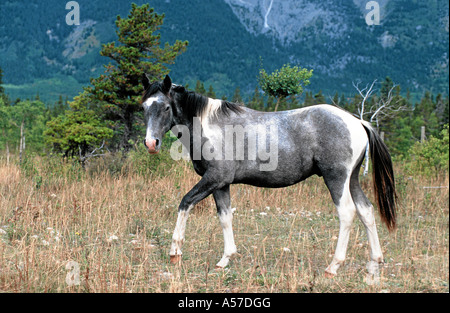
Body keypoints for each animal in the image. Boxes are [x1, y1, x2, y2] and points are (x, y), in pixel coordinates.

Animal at [142, 73, 398, 276]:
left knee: (347, 213)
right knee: (366, 211)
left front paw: (175, 252)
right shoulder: (221, 184)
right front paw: (225, 259)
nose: (151, 143)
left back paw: (333, 266)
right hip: (352, 180)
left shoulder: (213, 179)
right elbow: (225, 217)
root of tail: (358, 122)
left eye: (165, 107)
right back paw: (375, 262)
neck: (210, 126)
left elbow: (185, 203)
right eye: (144, 107)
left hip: (336, 179)